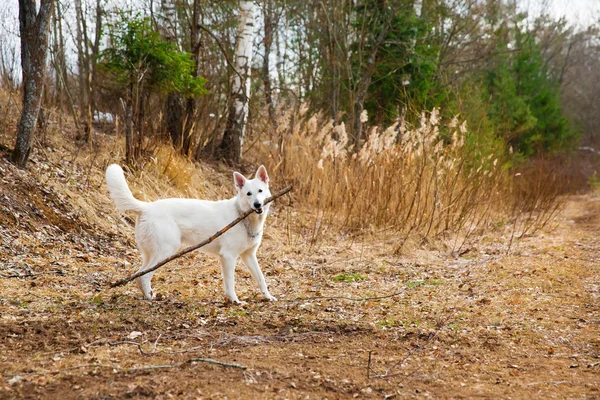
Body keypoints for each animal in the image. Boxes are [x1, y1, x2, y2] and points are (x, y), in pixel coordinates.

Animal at [105, 162, 276, 304]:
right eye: (248, 194)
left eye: (260, 191)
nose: (257, 204)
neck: (242, 215)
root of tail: (146, 207)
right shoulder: (228, 257)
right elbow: (230, 283)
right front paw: (234, 300)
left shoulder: (249, 255)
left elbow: (261, 278)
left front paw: (268, 297)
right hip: (166, 251)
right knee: (145, 275)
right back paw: (149, 298)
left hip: (151, 254)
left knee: (139, 275)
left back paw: (148, 295)